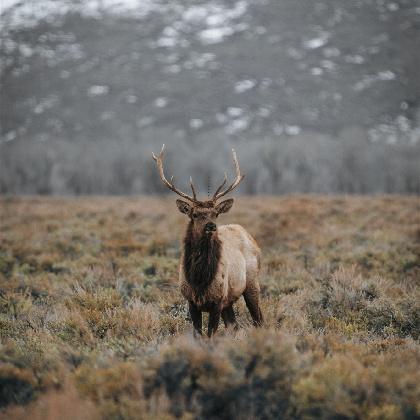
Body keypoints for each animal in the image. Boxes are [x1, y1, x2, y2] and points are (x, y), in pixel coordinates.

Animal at [151, 146, 262, 336]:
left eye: (215, 214)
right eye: (195, 214)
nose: (211, 226)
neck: (199, 279)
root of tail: (250, 236)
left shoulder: (218, 300)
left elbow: (210, 334)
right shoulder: (191, 301)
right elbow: (198, 334)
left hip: (252, 282)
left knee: (259, 319)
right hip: (230, 300)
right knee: (234, 325)